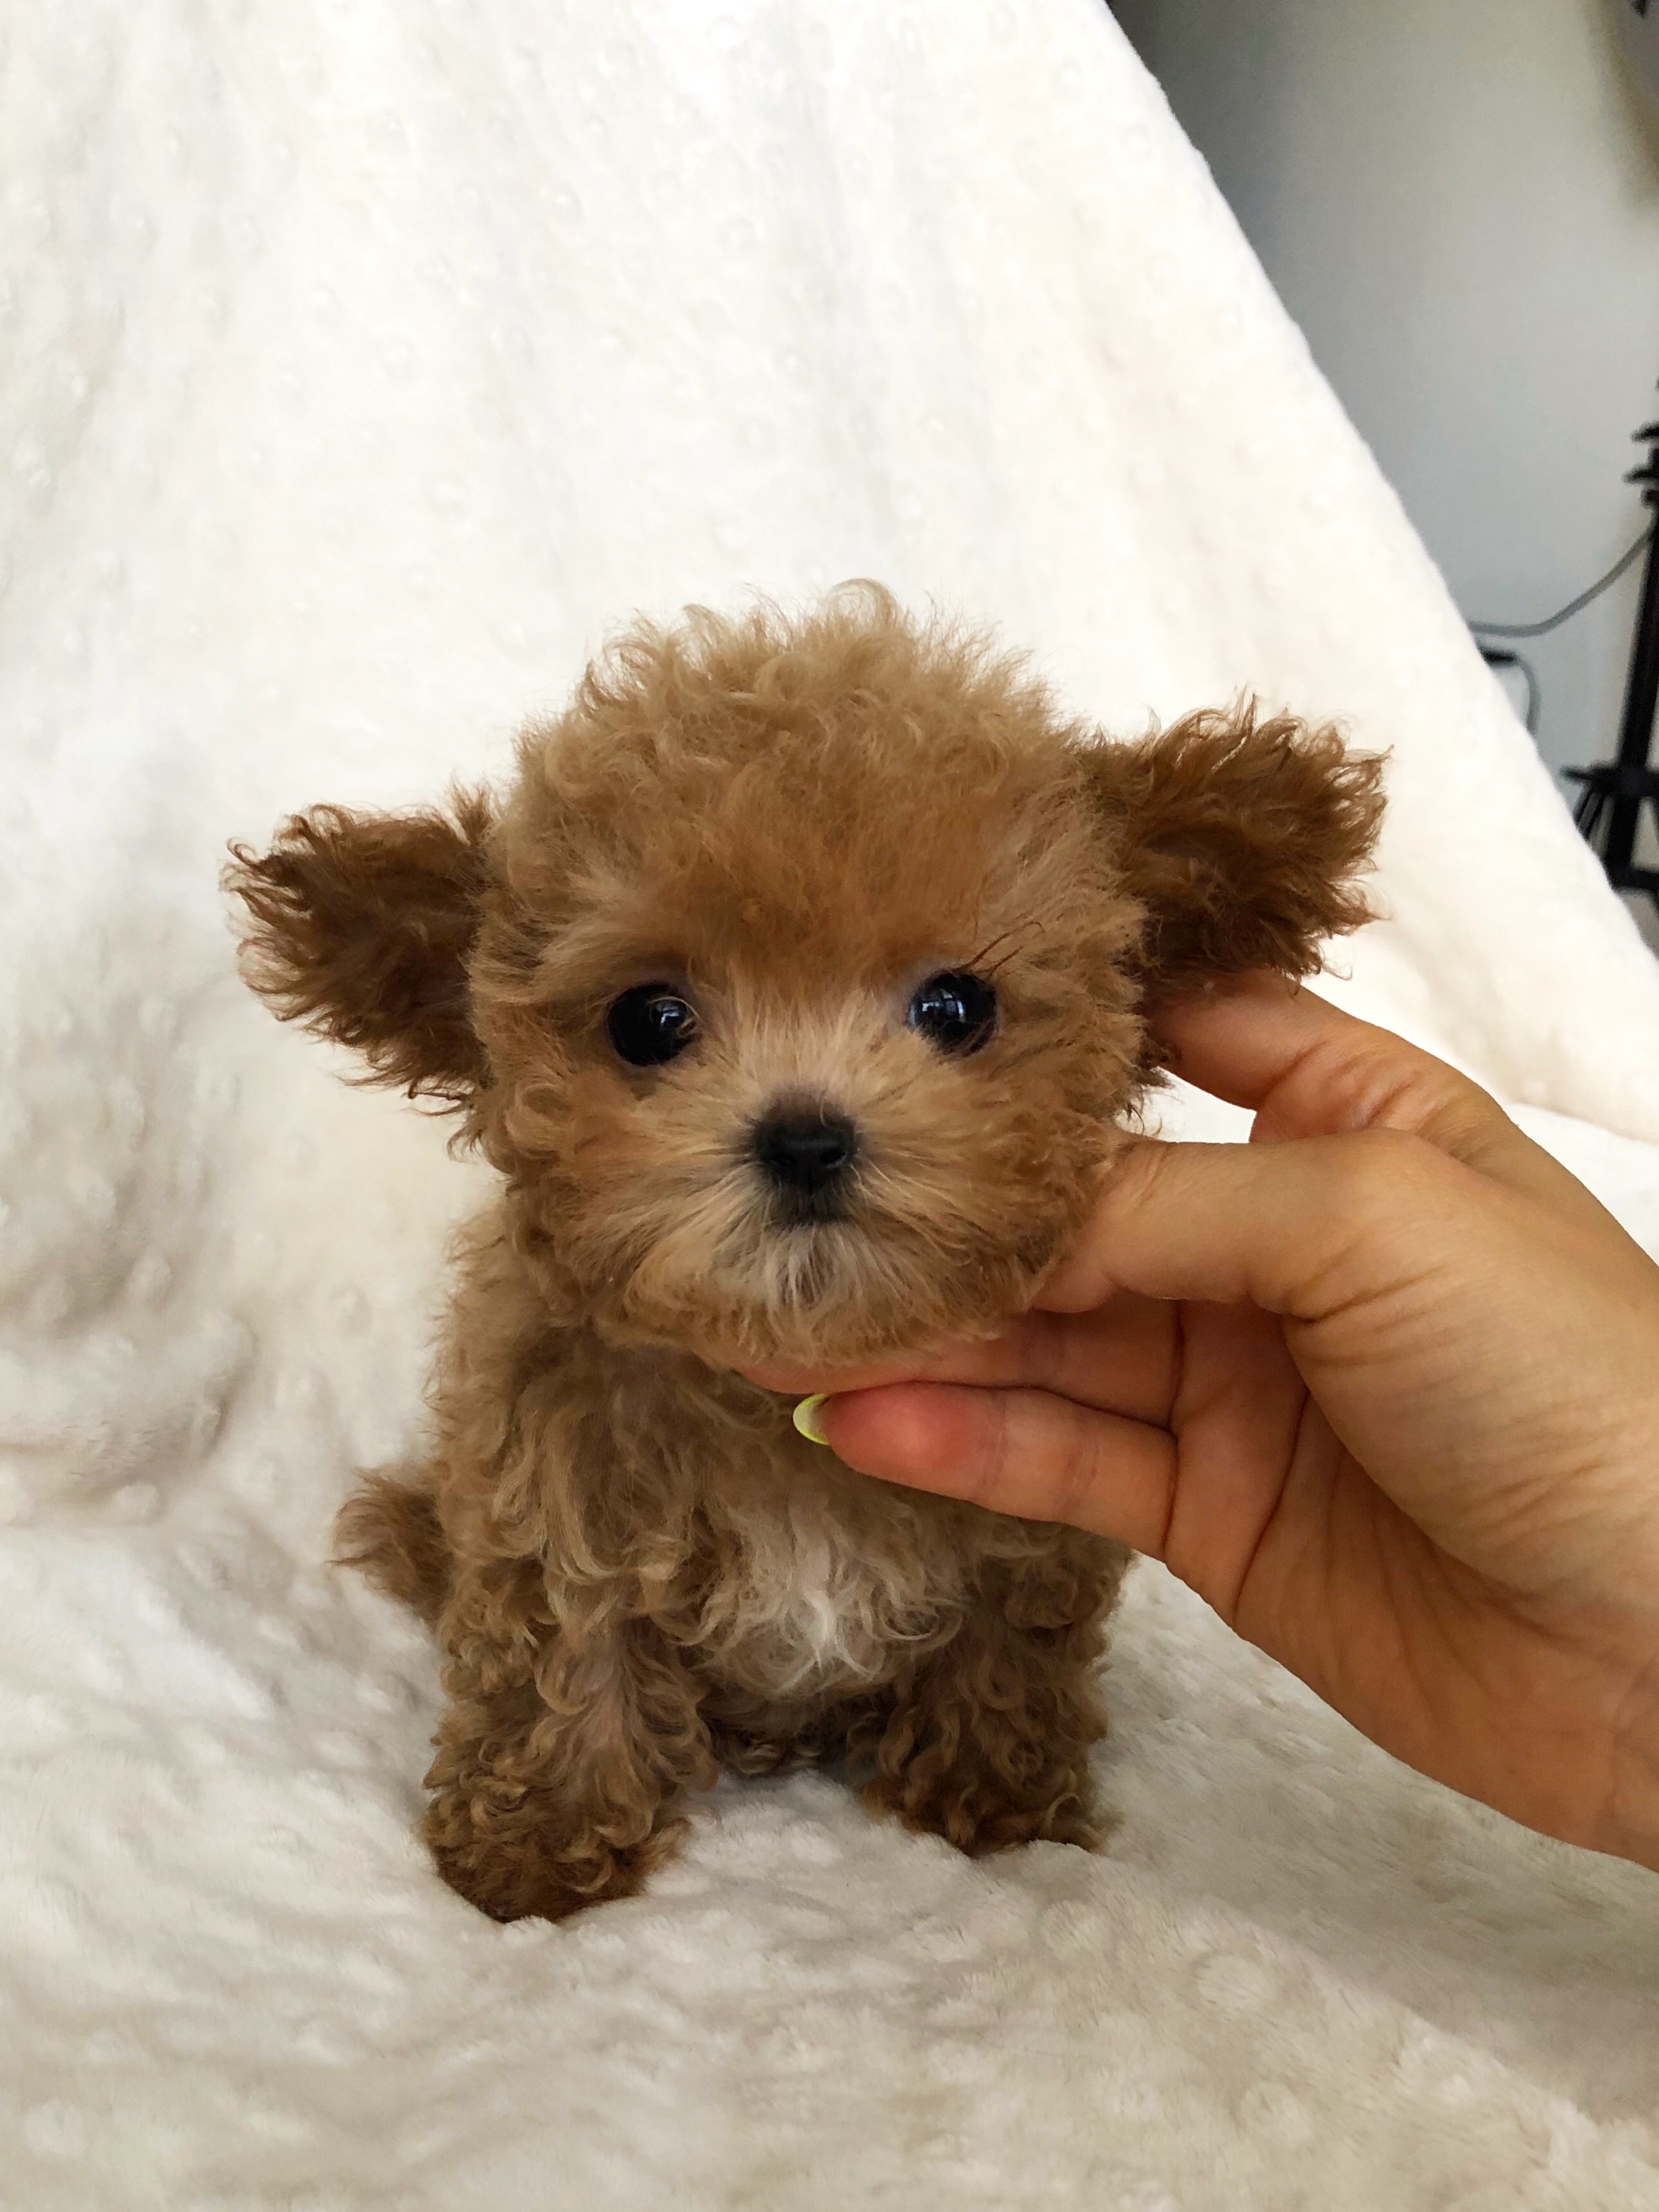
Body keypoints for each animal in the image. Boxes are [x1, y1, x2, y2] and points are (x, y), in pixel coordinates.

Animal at [227, 588, 1380, 1920]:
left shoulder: (1023, 1536)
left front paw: (990, 1796)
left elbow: (1004, 1647)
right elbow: (564, 1651)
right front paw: (536, 1850)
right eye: (648, 1021)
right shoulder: (547, 1480)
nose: (805, 1137)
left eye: (956, 1008)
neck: (777, 1383)